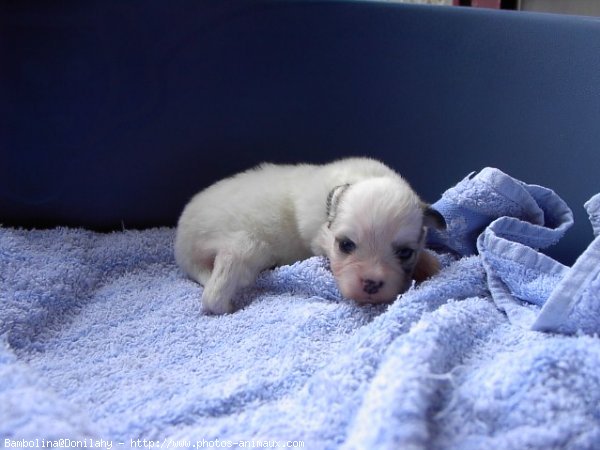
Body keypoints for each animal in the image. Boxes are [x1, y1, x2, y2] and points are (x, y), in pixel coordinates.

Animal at [173, 156, 446, 314]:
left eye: (405, 252)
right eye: (346, 245)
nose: (371, 284)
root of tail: (182, 247)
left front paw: (429, 264)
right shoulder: (318, 238)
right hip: (245, 245)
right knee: (215, 291)